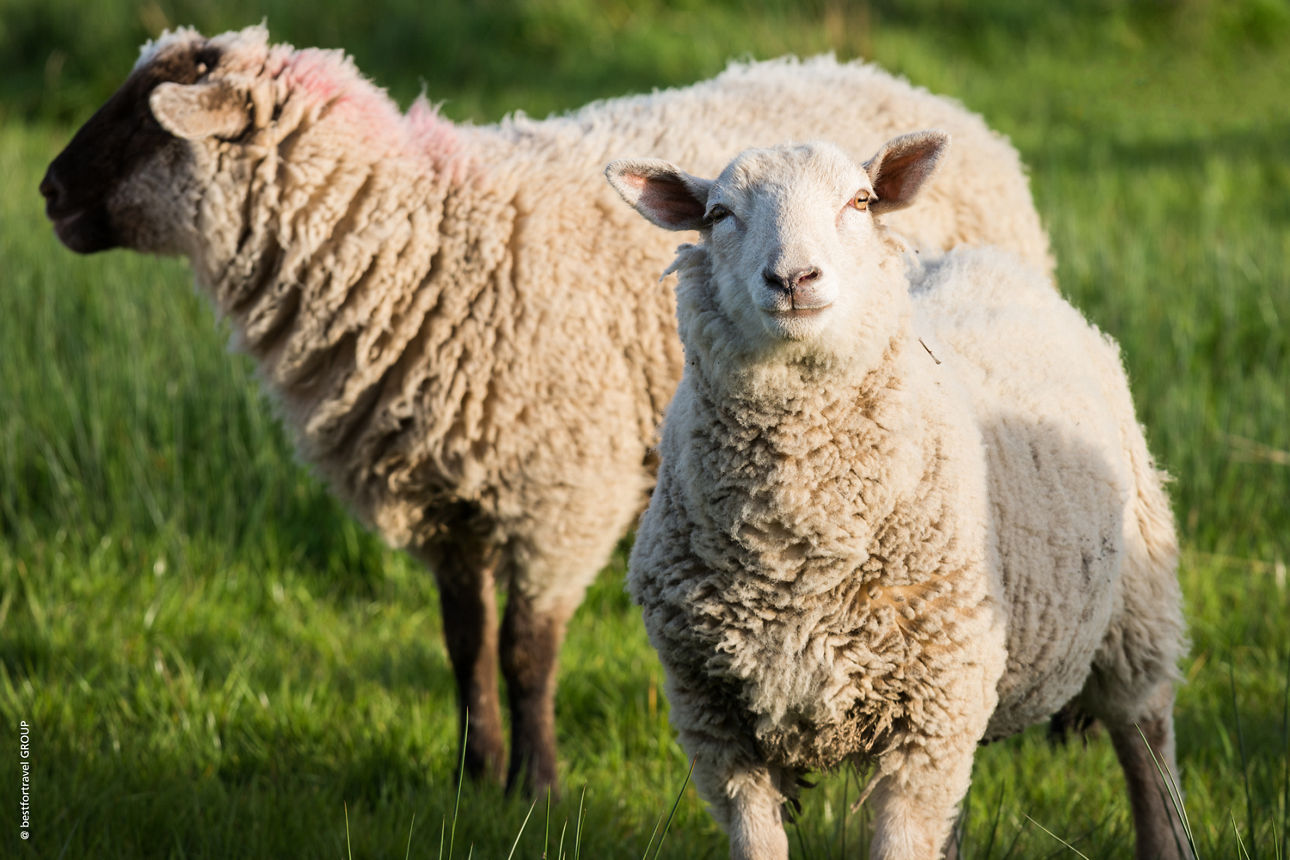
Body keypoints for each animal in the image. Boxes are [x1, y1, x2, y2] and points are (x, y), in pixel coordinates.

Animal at [40, 24, 1055, 796]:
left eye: (147, 118)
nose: (47, 193)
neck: (419, 242)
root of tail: (921, 94)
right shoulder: (443, 496)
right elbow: (463, 642)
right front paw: (473, 771)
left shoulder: (557, 487)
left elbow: (529, 651)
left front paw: (538, 785)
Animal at [607, 135, 1188, 859]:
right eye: (718, 214)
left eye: (860, 201)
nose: (793, 279)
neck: (793, 554)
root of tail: (984, 257)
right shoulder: (716, 720)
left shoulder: (927, 715)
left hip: (1135, 606)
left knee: (1147, 739)